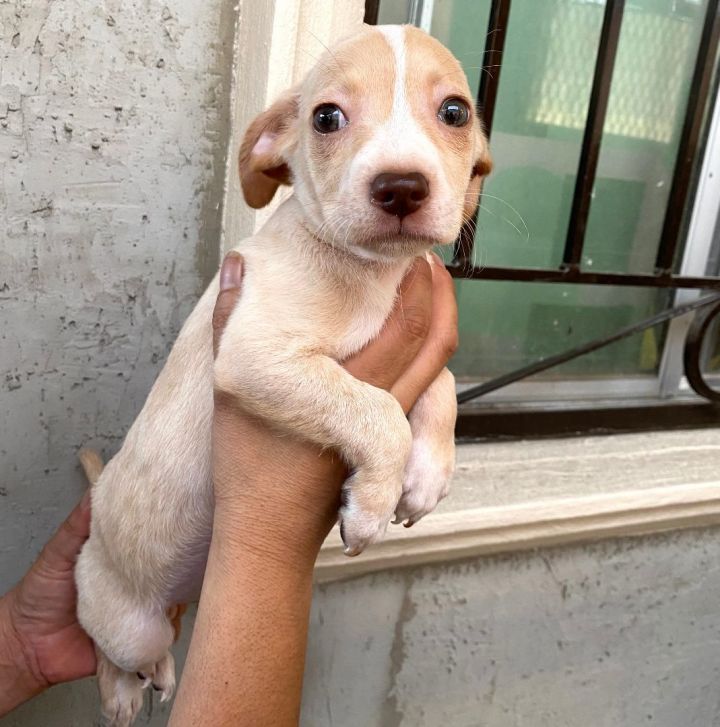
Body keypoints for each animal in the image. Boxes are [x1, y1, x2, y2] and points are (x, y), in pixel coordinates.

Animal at [74, 22, 490, 727]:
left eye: (455, 112)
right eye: (326, 117)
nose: (402, 187)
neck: (368, 277)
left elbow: (443, 384)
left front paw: (428, 474)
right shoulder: (255, 353)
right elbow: (378, 410)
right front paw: (373, 504)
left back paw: (159, 674)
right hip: (126, 622)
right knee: (105, 647)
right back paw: (121, 693)